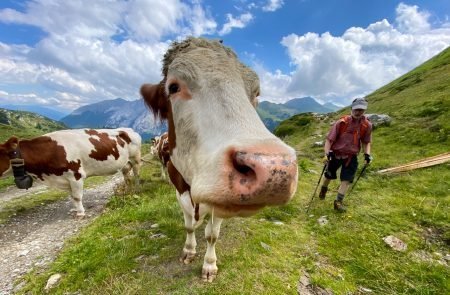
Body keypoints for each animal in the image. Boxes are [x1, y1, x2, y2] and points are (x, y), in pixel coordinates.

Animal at [0, 128, 141, 217]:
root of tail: (129, 129)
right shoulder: (65, 178)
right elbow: (72, 196)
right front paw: (74, 209)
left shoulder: (75, 175)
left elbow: (77, 196)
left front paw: (80, 213)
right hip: (124, 163)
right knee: (126, 173)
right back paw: (128, 188)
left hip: (136, 158)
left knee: (136, 172)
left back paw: (138, 186)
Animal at [139, 38, 298, 284]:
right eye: (173, 87)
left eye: (256, 93)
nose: (275, 168)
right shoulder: (179, 191)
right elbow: (188, 226)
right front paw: (189, 251)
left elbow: (212, 235)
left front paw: (209, 266)